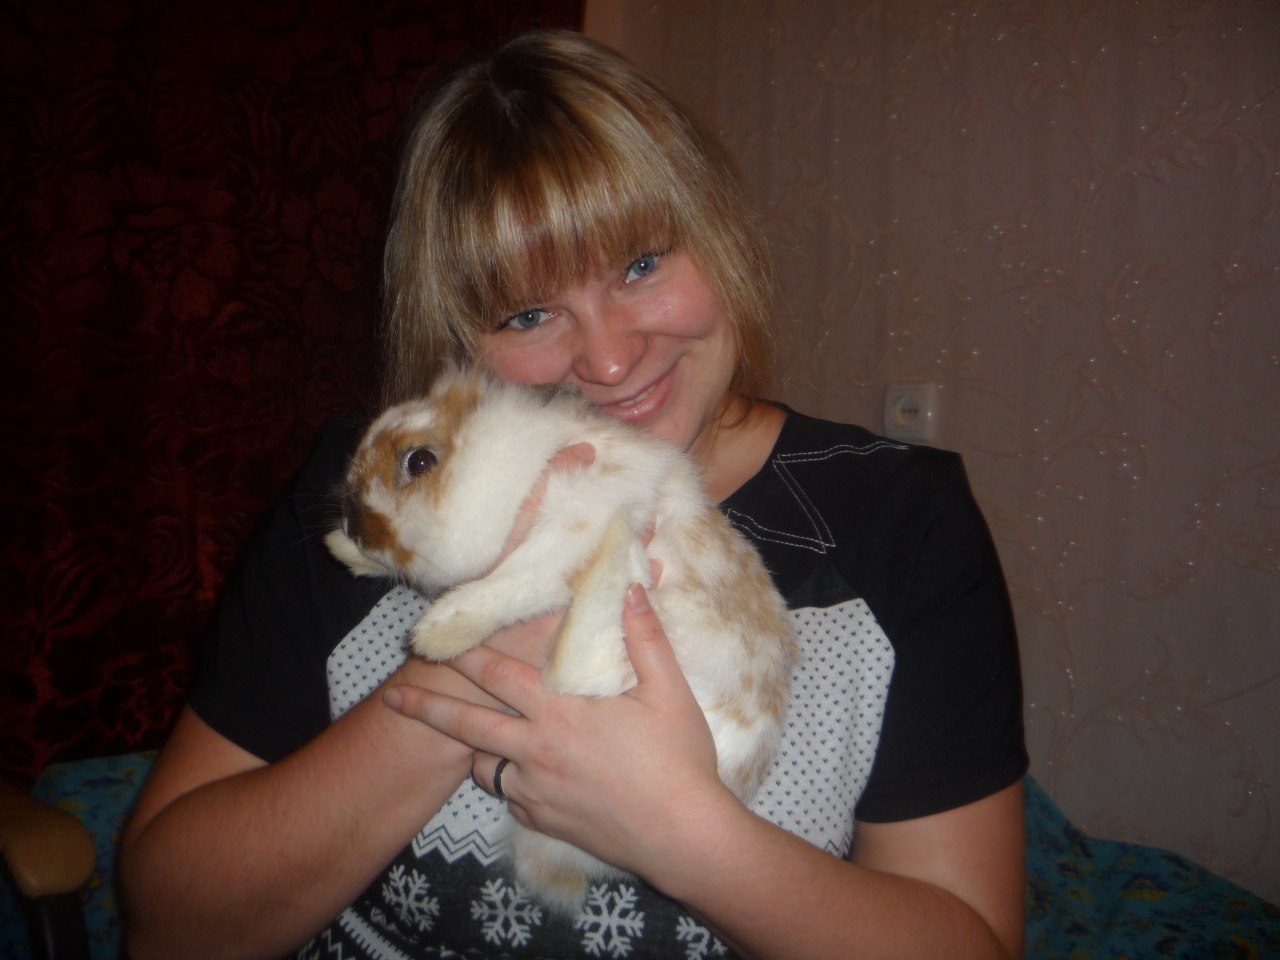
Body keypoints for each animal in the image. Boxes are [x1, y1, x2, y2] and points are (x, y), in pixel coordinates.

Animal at [325, 366, 797, 912]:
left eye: (419, 461)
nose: (356, 528)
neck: (511, 464)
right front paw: (343, 551)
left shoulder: (570, 527)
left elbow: (514, 581)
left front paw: (435, 635)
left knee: (574, 667)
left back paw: (617, 551)